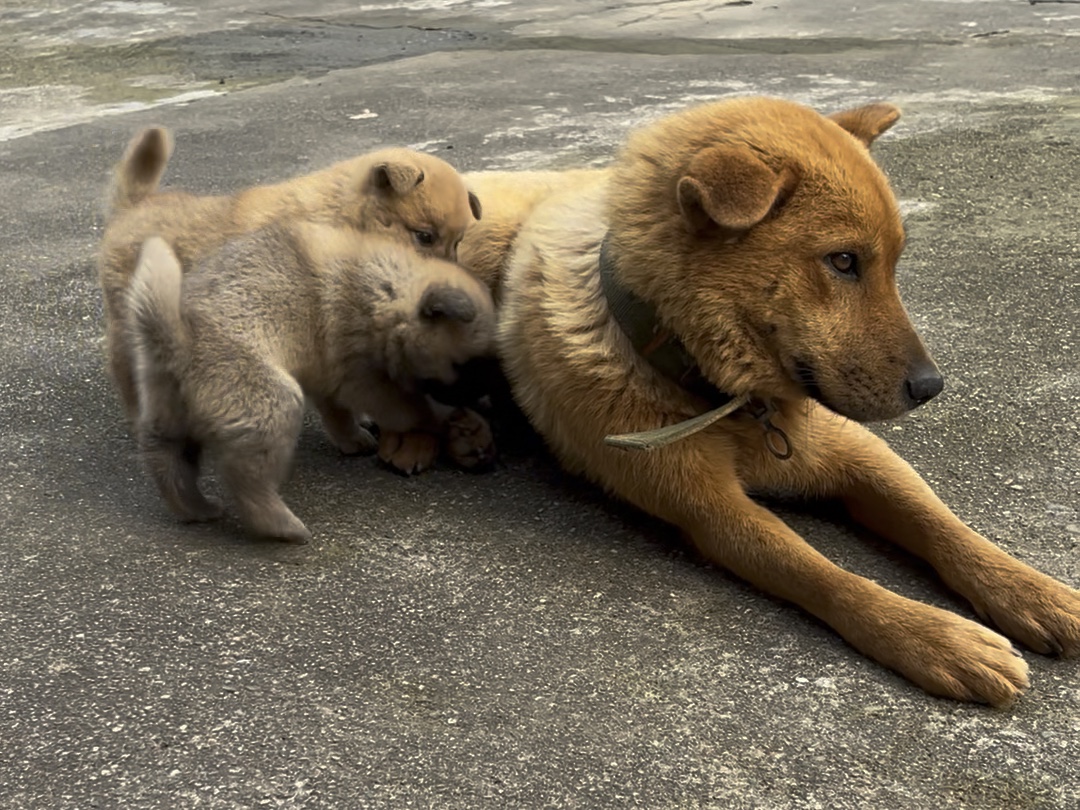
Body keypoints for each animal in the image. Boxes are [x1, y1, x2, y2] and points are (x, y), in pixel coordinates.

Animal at [100, 127, 481, 457]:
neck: (342, 219)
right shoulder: (319, 344)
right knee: (126, 374)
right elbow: (335, 405)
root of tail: (133, 207)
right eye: (424, 237)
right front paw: (351, 438)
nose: (456, 284)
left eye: (459, 243)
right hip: (129, 325)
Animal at [127, 223, 496, 546]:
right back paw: (281, 525)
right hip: (271, 405)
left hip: (170, 415)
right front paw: (450, 422)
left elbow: (339, 415)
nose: (483, 396)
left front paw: (355, 436)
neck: (389, 291)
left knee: (167, 459)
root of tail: (176, 340)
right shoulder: (366, 380)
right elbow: (413, 408)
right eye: (466, 365)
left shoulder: (331, 378)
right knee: (246, 479)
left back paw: (193, 507)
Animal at [460, 95, 1080, 708]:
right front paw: (932, 636)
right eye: (843, 261)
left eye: (893, 263)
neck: (730, 399)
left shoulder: (856, 453)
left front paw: (1030, 590)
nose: (931, 388)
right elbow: (824, 574)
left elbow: (938, 522)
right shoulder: (711, 510)